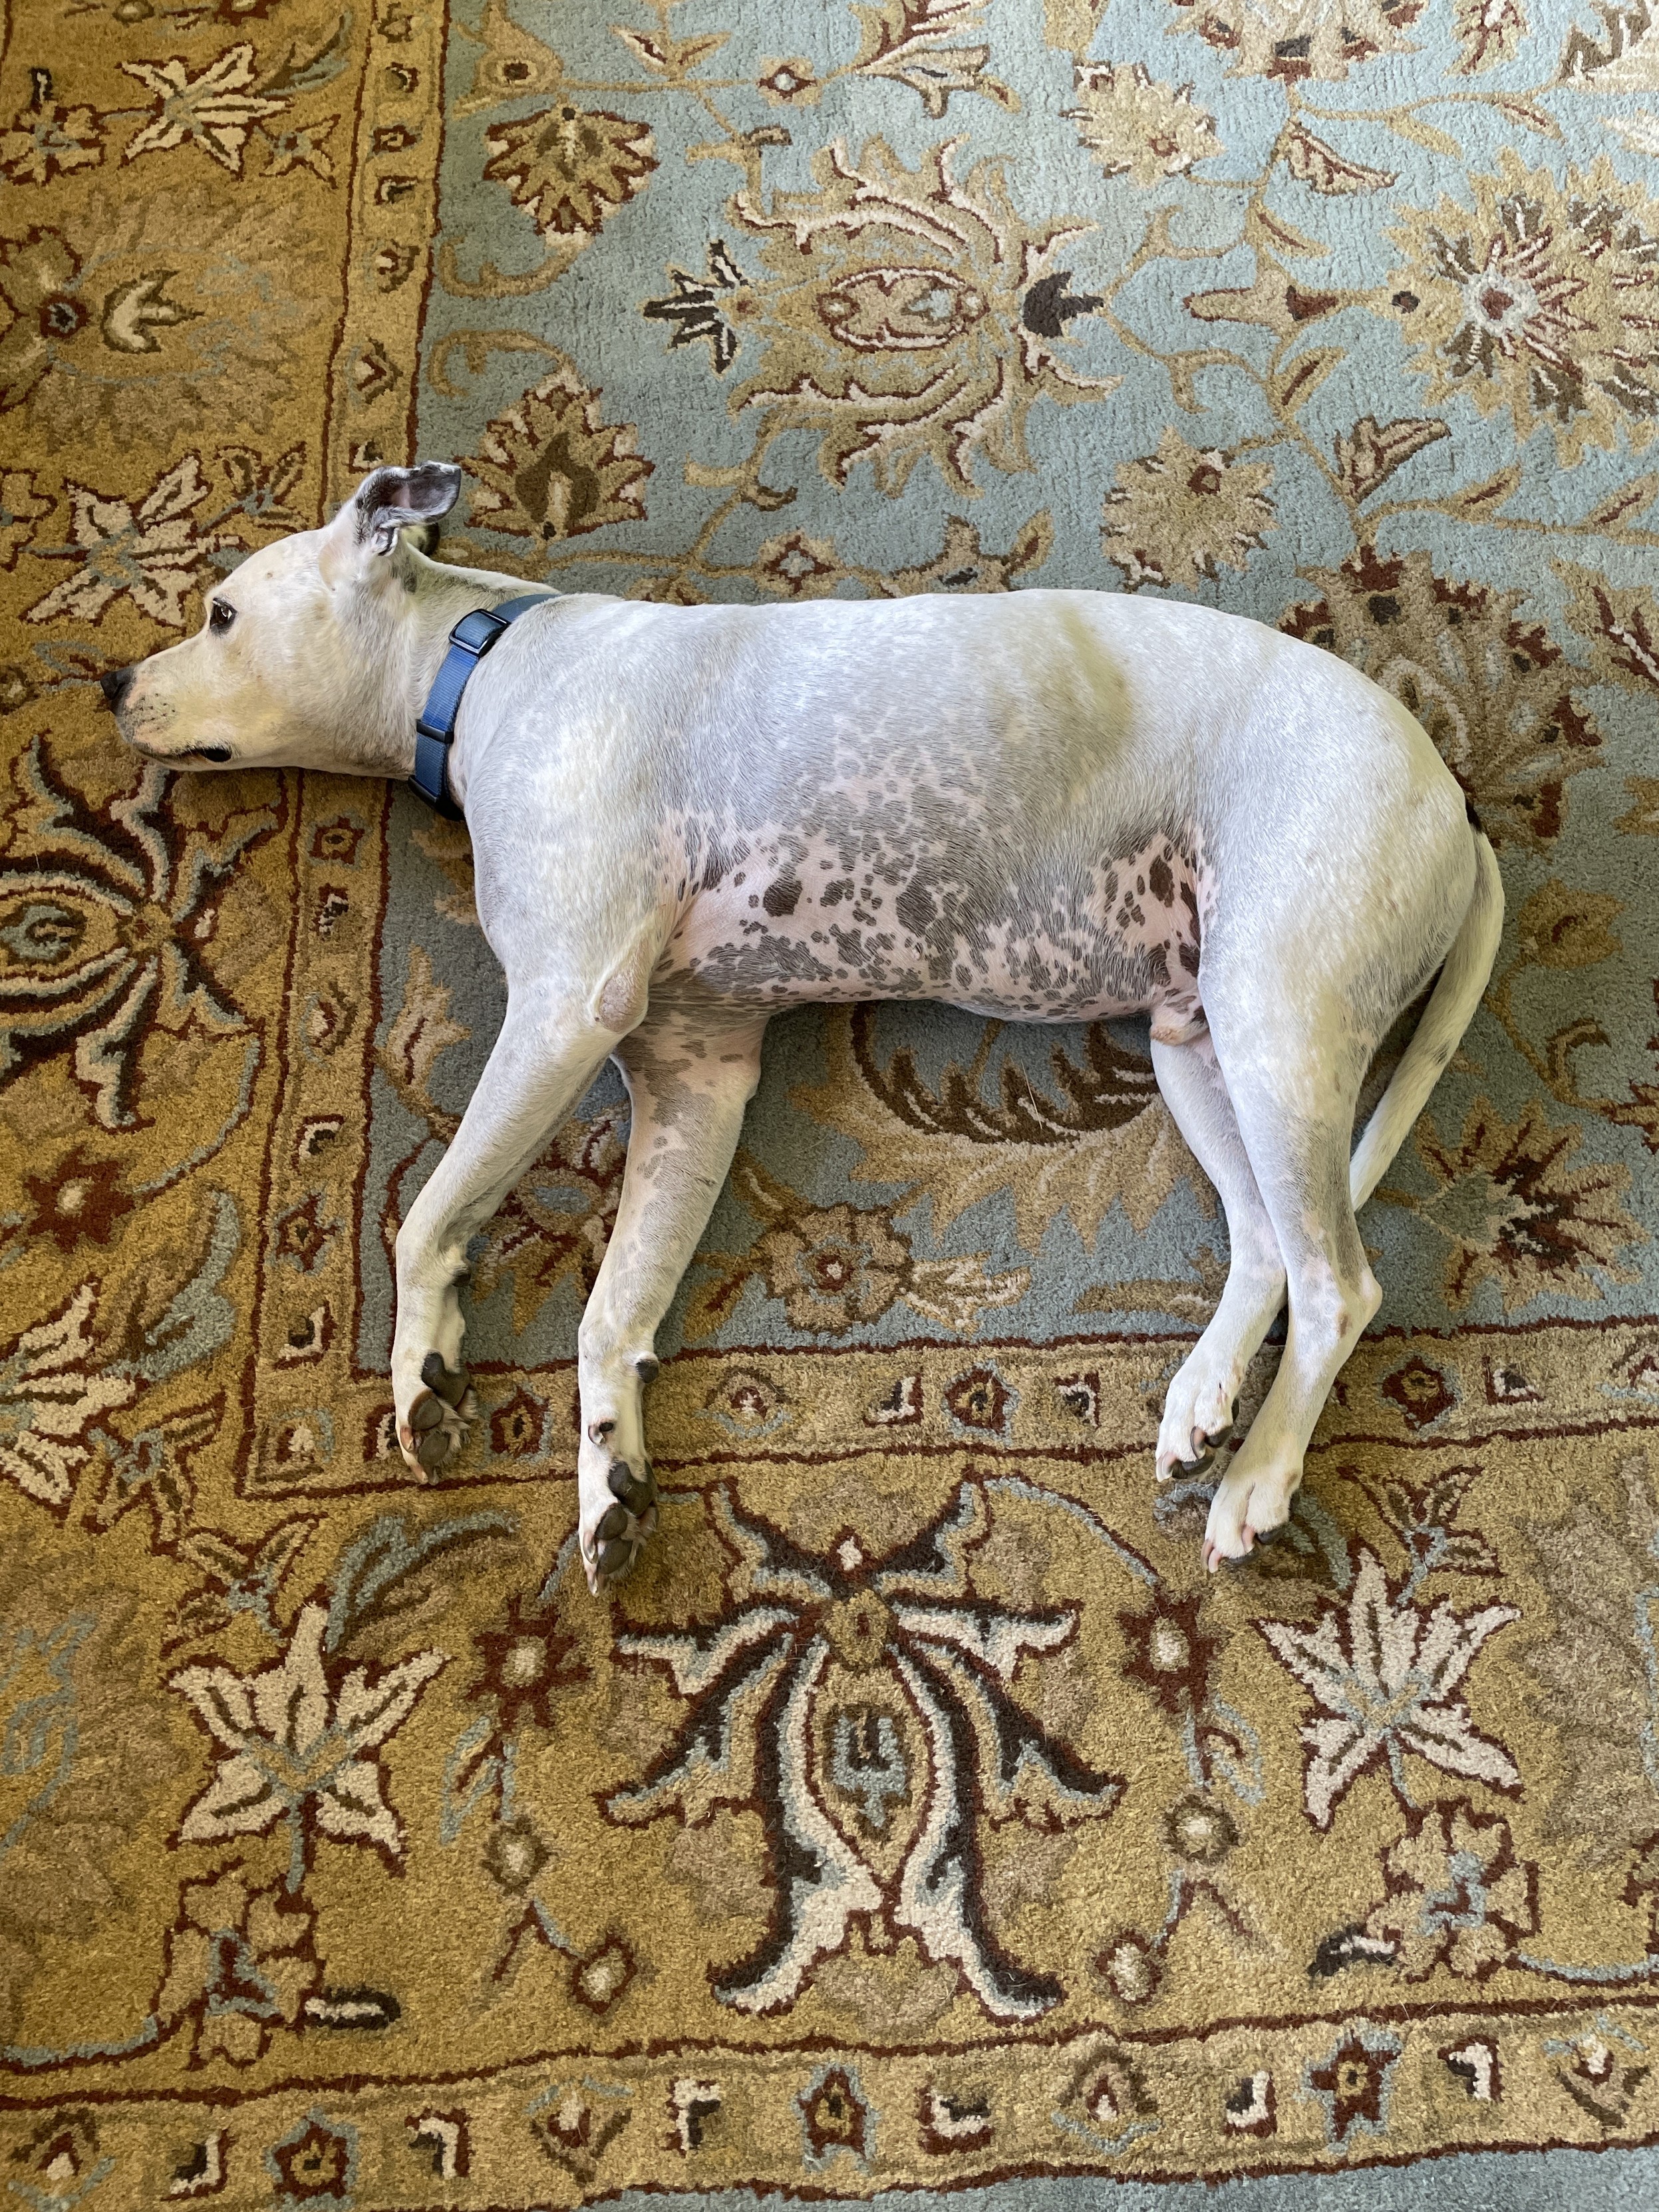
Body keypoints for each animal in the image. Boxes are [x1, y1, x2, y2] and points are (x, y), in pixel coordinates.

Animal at [104, 466, 1504, 1593]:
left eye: (220, 612)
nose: (109, 676)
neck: (481, 657)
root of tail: (1454, 802)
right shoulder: (692, 1079)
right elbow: (608, 1314)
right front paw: (607, 1484)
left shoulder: (560, 1008)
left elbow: (423, 1219)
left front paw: (421, 1374)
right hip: (1198, 1048)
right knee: (1267, 1248)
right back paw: (1204, 1402)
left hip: (1274, 1032)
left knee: (1334, 1285)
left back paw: (1254, 1480)